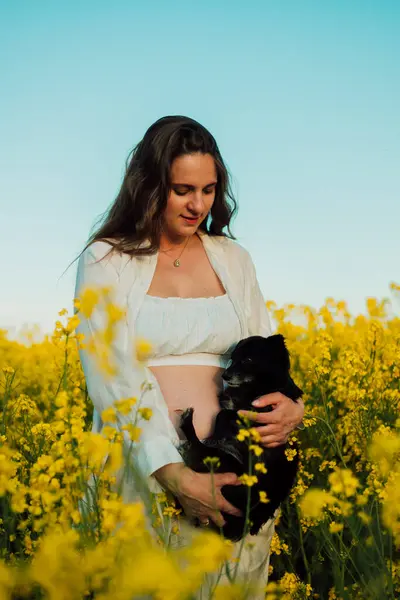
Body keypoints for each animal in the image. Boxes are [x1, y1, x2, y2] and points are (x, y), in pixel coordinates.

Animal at [177, 336, 304, 540]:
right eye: (232, 359)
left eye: (248, 360)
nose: (225, 376)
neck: (259, 386)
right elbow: (224, 411)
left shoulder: (256, 416)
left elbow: (225, 414)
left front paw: (219, 432)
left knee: (199, 449)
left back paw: (189, 424)